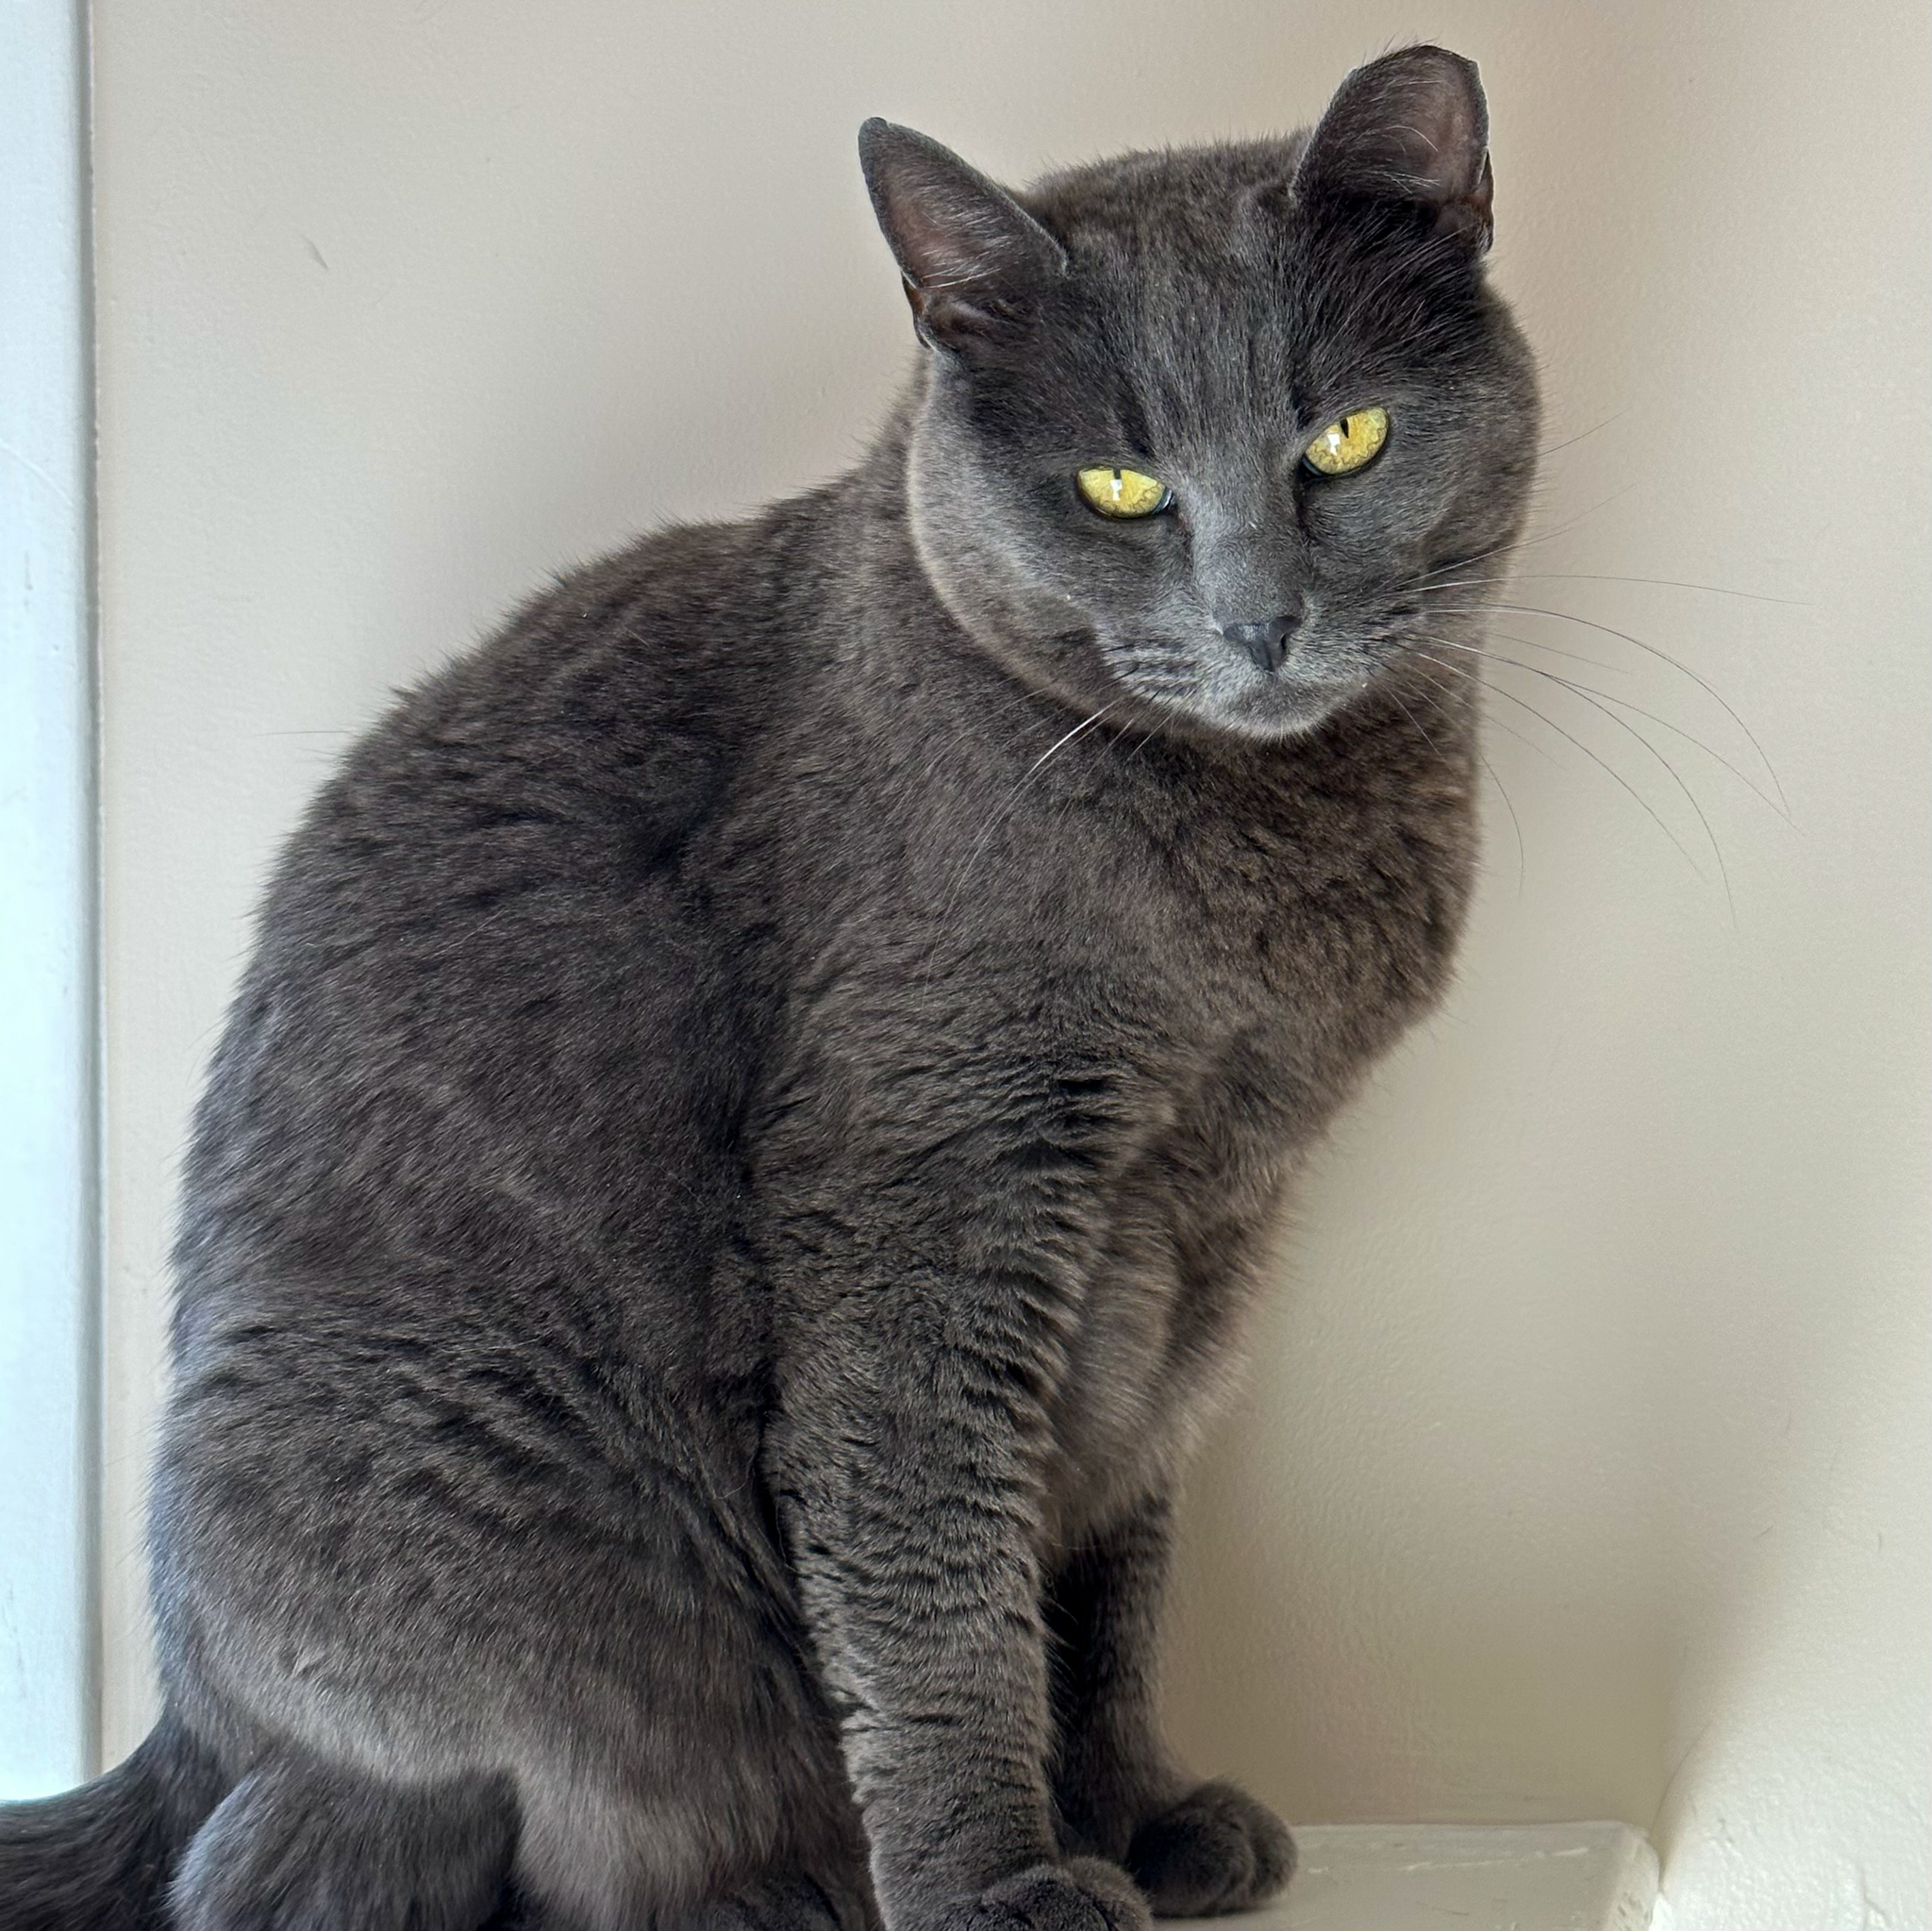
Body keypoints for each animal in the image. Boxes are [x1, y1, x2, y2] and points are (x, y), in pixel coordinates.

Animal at [0, 42, 1538, 1930]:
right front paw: (997, 1879)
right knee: (317, 1850)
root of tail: (176, 1714)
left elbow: (1111, 1565)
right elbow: (939, 1587)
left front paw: (1135, 1816)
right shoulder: (922, 1186)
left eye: (1342, 438)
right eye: (1119, 486)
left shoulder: (1190, 1236)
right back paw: (763, 1883)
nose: (1260, 620)